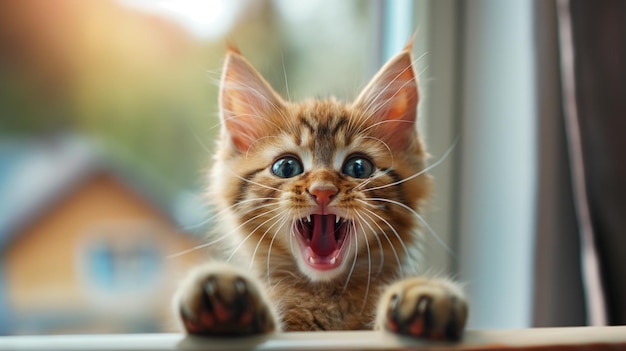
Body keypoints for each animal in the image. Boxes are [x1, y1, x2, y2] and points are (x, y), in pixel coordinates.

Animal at [173, 42, 466, 342]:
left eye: (358, 167)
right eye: (286, 167)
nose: (322, 190)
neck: (325, 295)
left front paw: (424, 293)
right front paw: (227, 298)